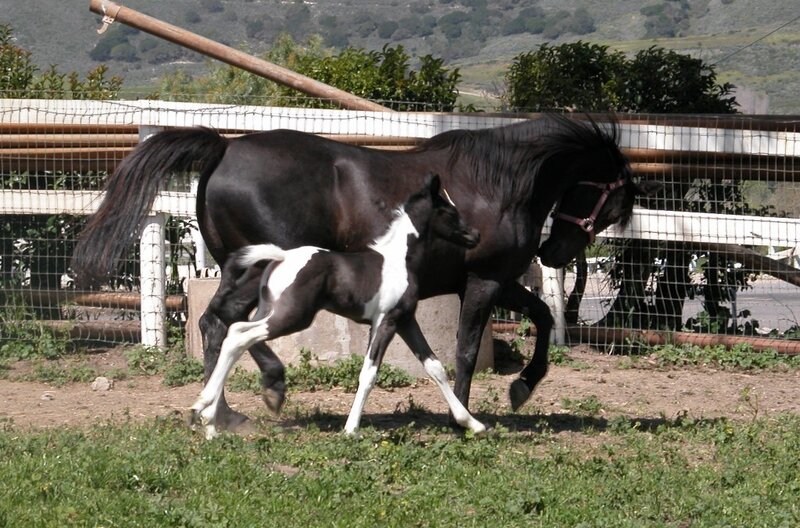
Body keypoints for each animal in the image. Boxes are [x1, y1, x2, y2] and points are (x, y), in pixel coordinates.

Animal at [191, 174, 486, 438]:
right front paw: (351, 428)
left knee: (237, 332)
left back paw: (210, 420)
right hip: (293, 316)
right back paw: (204, 407)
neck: (399, 260)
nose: (476, 235)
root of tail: (281, 257)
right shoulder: (386, 320)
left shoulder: (405, 320)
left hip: (271, 310)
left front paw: (472, 423)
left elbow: (434, 367)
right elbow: (369, 372)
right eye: (449, 212)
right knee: (239, 335)